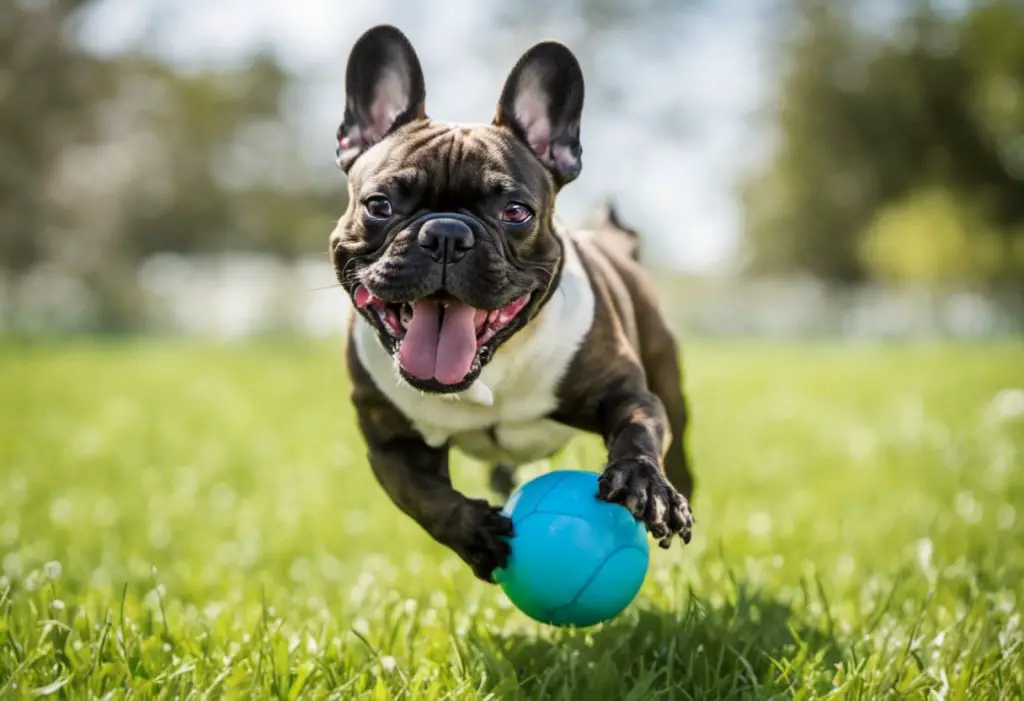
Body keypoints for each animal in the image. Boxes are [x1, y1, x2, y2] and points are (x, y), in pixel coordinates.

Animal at [331, 24, 692, 581]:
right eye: (379, 205)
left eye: (516, 212)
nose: (446, 234)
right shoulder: (391, 443)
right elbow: (421, 496)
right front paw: (475, 533)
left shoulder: (625, 392)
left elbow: (638, 428)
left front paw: (642, 483)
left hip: (669, 379)